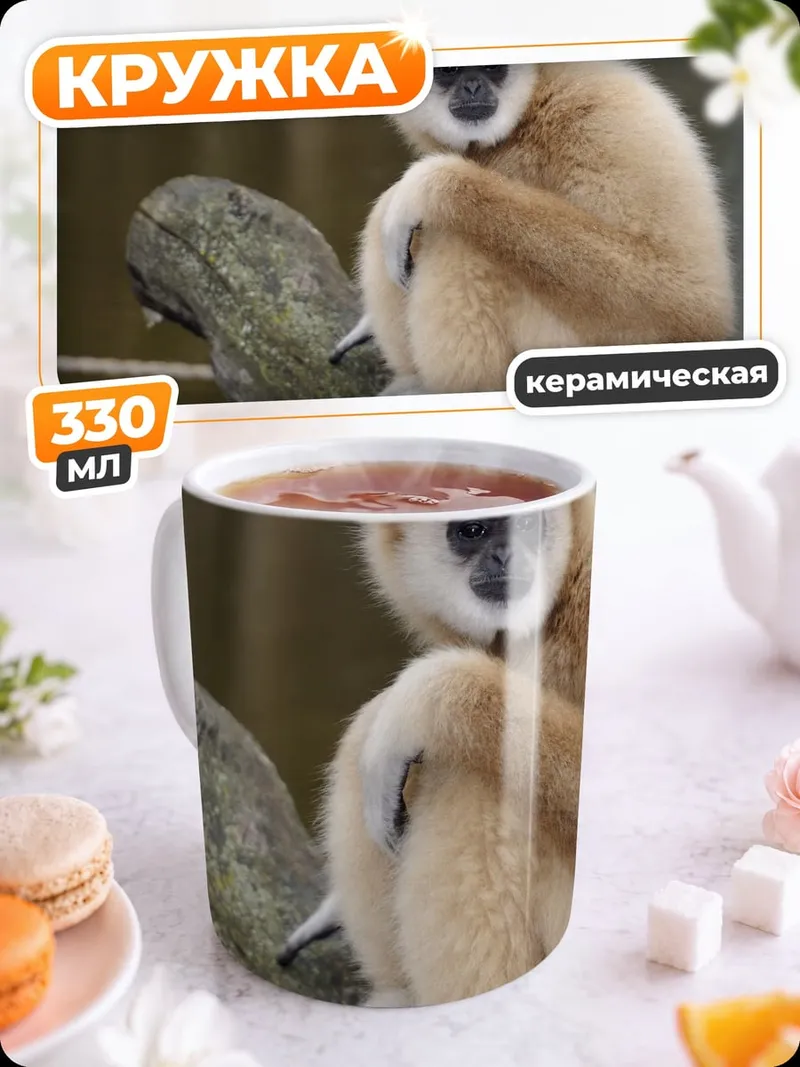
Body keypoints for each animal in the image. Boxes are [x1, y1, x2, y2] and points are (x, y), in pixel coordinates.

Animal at [331, 61, 736, 395]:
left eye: (493, 67)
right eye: (448, 71)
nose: (473, 86)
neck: (530, 111)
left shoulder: (607, 114)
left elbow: (683, 302)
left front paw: (431, 184)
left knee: (453, 238)